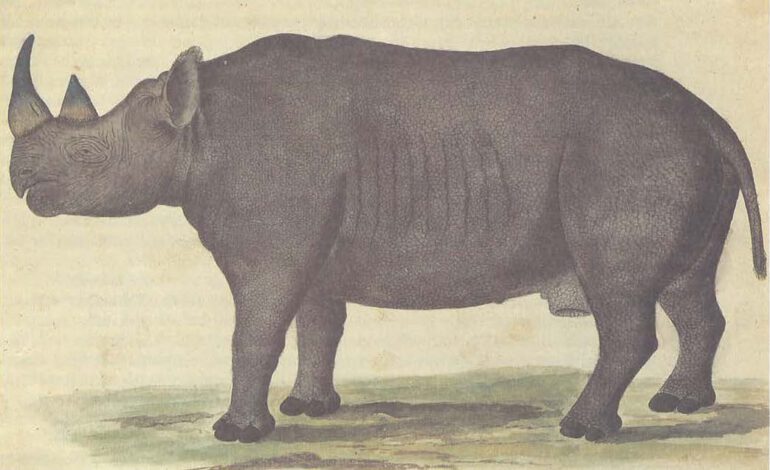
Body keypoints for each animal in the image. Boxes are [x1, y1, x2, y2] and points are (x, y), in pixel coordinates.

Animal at [8, 33, 766, 443]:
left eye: (87, 158)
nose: (19, 179)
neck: (195, 129)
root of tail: (712, 117)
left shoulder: (270, 244)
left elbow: (256, 330)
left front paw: (237, 432)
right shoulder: (310, 248)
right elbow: (316, 324)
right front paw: (309, 409)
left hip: (634, 153)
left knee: (623, 297)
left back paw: (580, 430)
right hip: (674, 149)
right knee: (687, 289)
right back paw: (679, 405)